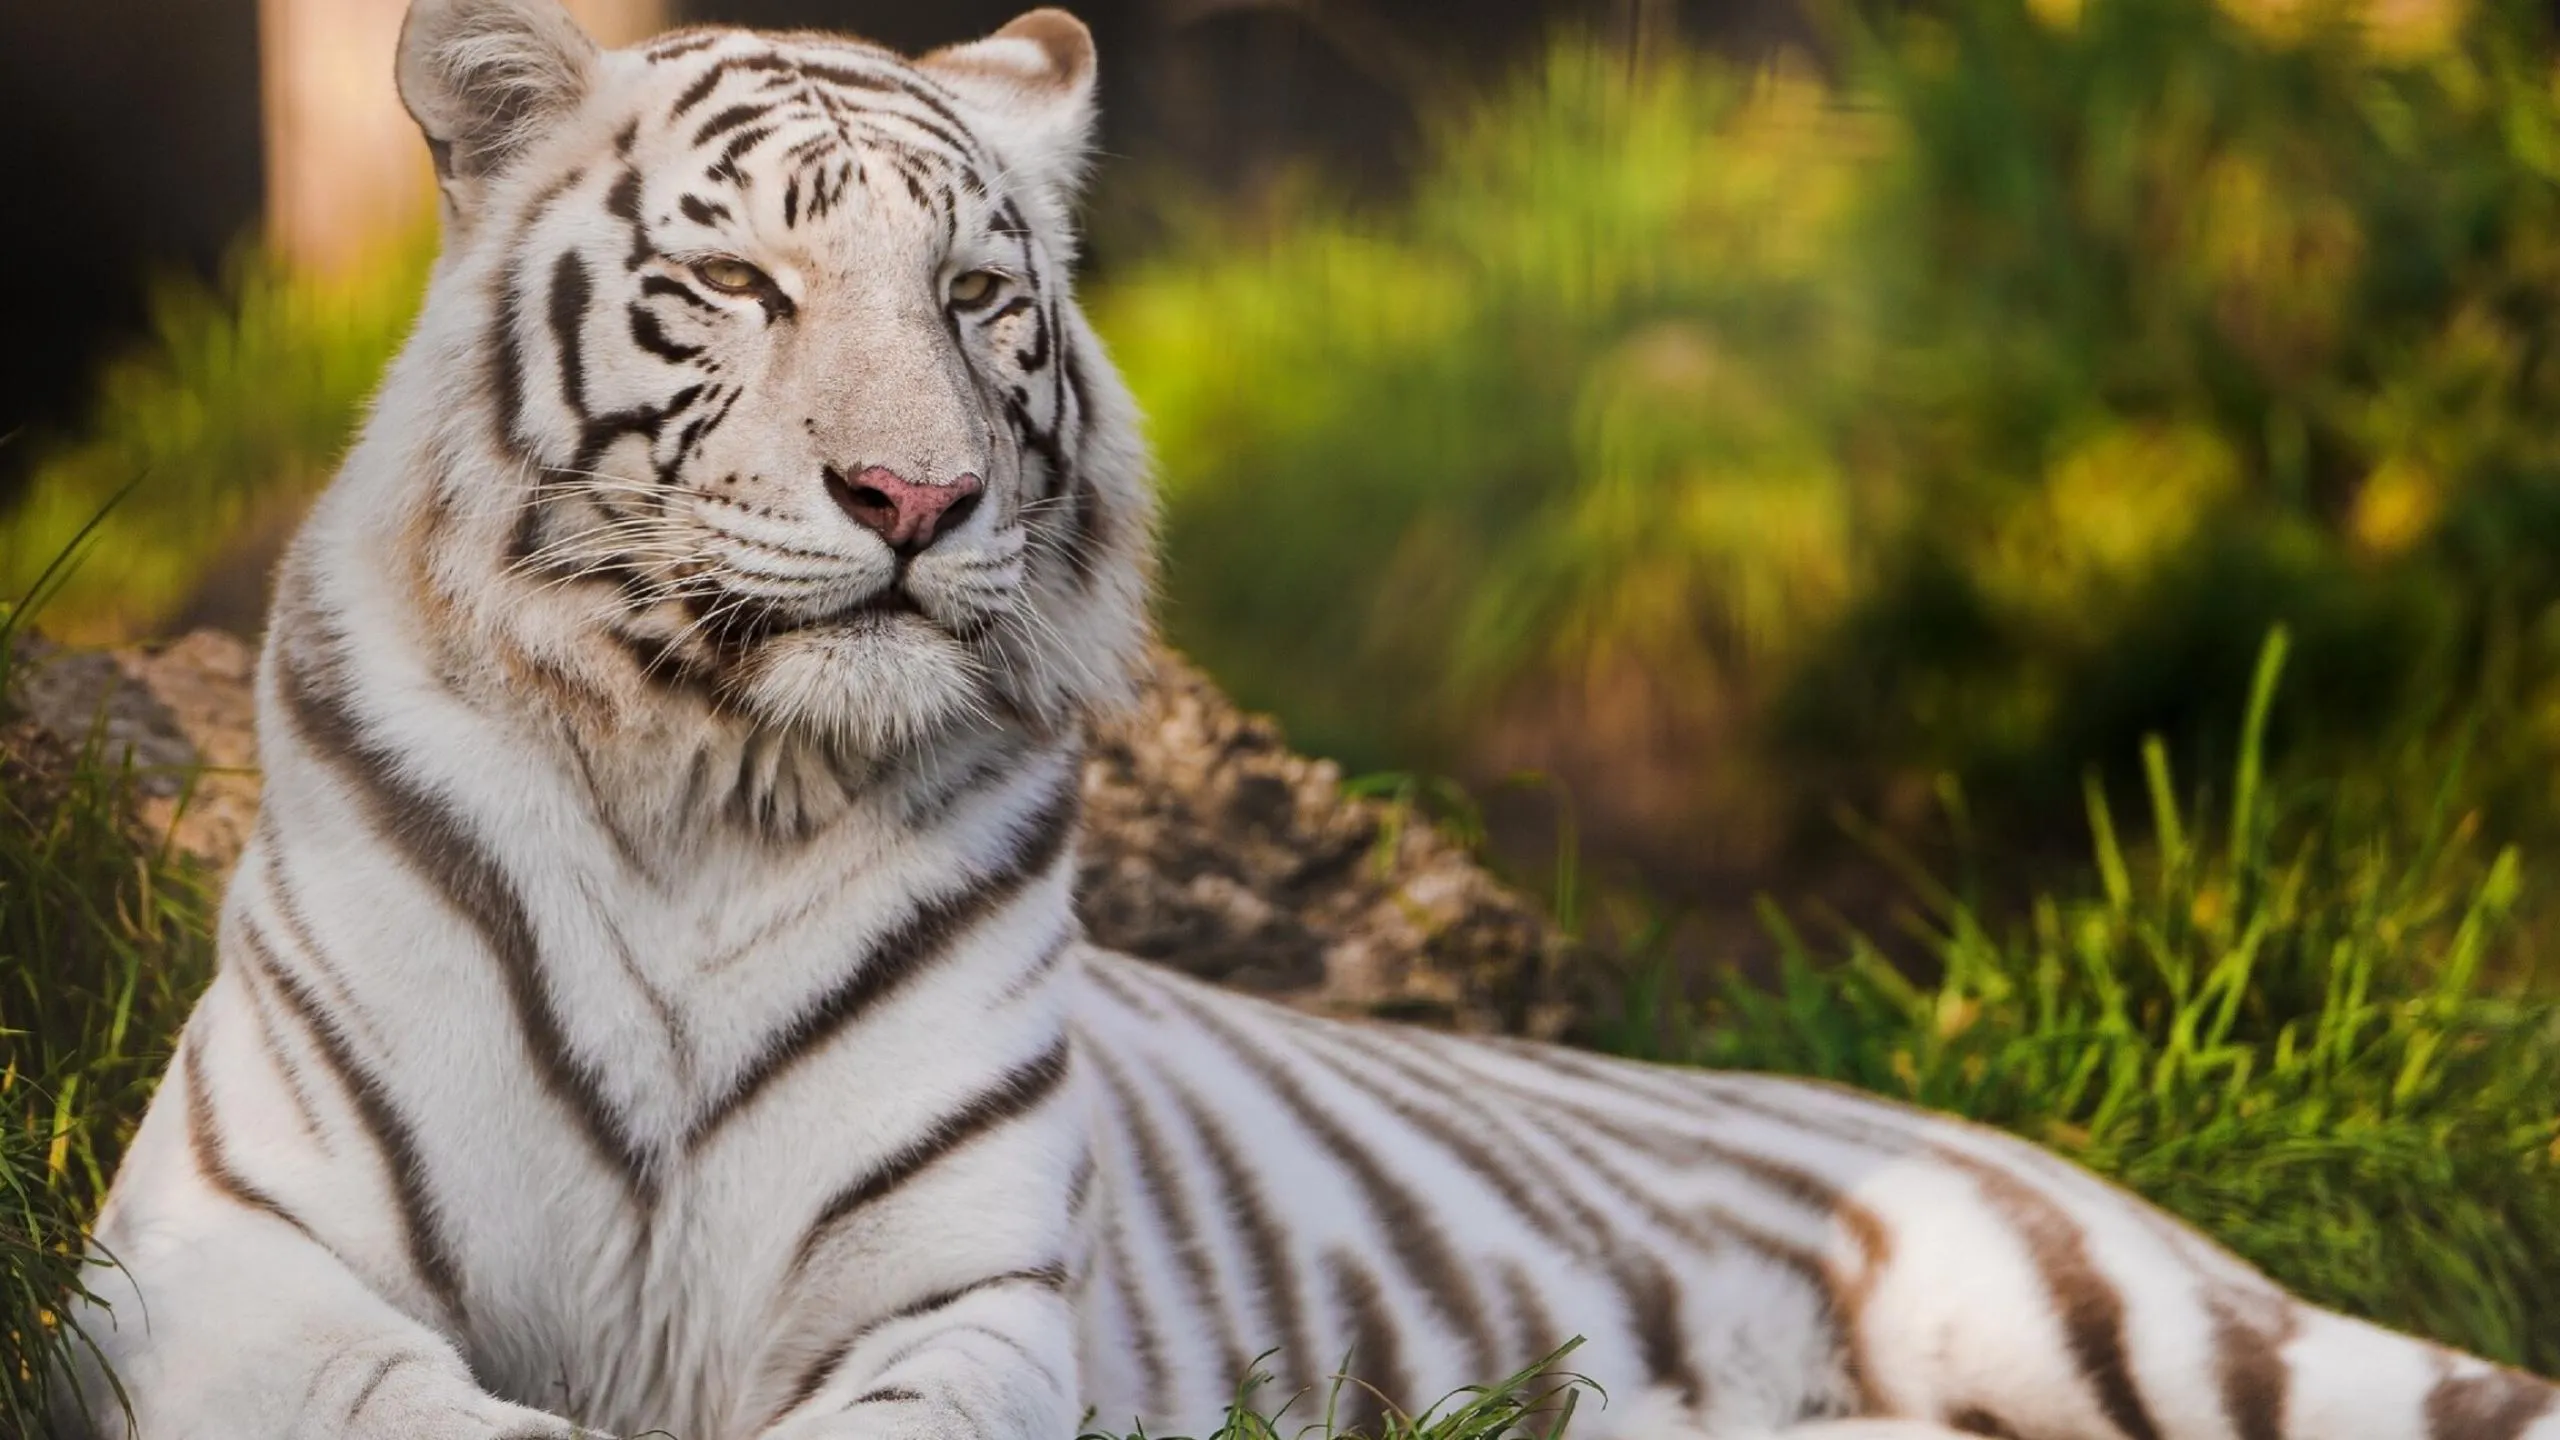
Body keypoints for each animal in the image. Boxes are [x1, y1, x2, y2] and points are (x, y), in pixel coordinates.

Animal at [57, 1, 2560, 1438]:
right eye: (741, 283)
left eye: (977, 300)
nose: (915, 497)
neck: (707, 786)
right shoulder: (210, 1255)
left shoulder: (968, 1294)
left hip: (2143, 1327)